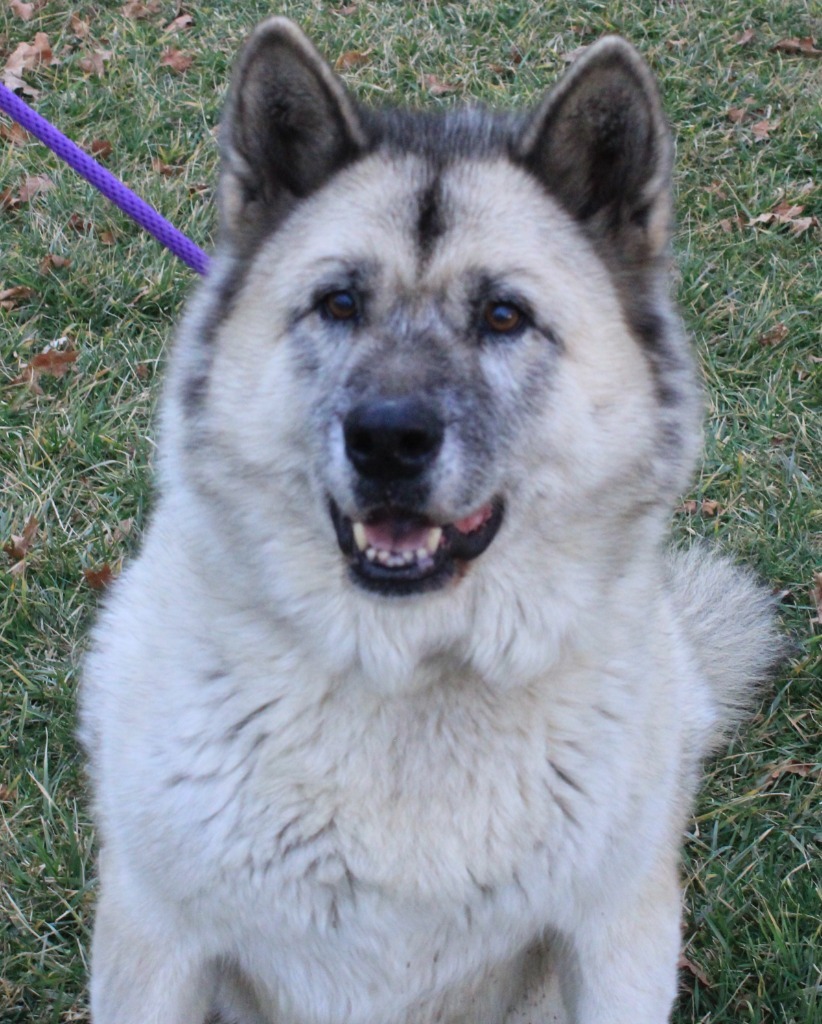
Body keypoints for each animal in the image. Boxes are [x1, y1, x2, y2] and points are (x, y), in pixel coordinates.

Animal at [78, 18, 786, 1024]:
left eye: (504, 316)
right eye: (339, 303)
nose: (387, 439)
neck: (415, 679)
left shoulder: (619, 935)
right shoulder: (153, 937)